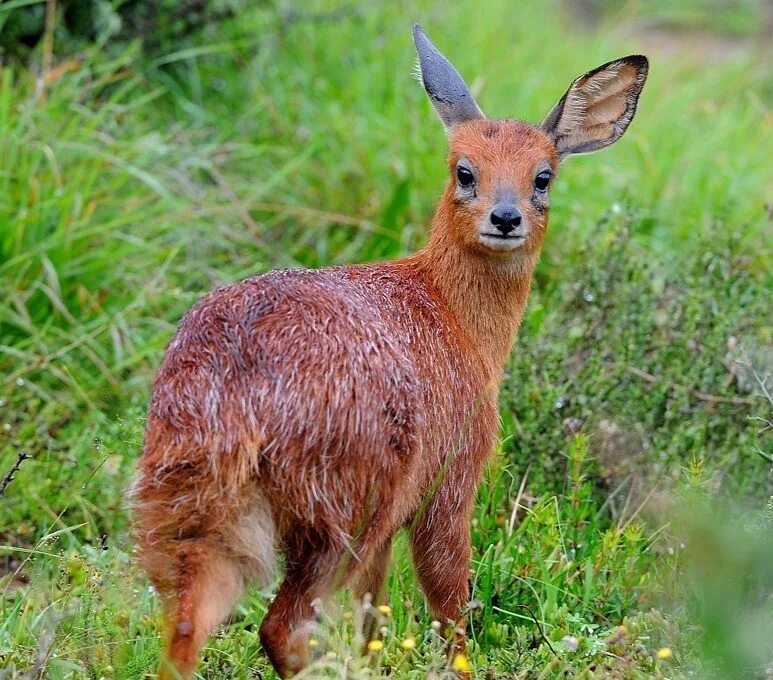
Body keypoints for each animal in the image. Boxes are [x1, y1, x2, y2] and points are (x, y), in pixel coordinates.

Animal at [133, 25, 644, 680]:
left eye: (543, 176)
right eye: (464, 170)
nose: (506, 217)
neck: (456, 321)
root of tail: (233, 386)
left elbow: (372, 617)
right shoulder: (449, 480)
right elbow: (450, 608)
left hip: (191, 502)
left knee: (185, 628)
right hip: (344, 506)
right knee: (281, 626)